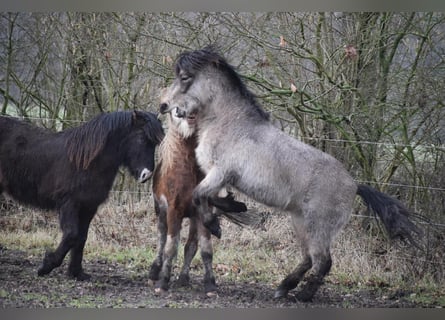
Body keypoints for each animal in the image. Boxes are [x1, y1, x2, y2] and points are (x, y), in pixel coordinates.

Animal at [0, 110, 163, 280]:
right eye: (141, 138)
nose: (147, 175)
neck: (86, 162)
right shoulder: (70, 204)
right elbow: (72, 235)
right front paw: (46, 266)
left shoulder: (88, 207)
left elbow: (81, 238)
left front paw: (76, 272)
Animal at [158, 46, 422, 302]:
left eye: (184, 77)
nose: (163, 106)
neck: (229, 123)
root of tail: (355, 185)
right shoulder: (220, 178)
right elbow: (210, 198)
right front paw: (234, 208)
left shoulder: (220, 173)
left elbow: (198, 195)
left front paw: (215, 226)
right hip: (300, 222)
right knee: (308, 259)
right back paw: (284, 288)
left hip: (318, 228)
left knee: (323, 262)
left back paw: (302, 295)